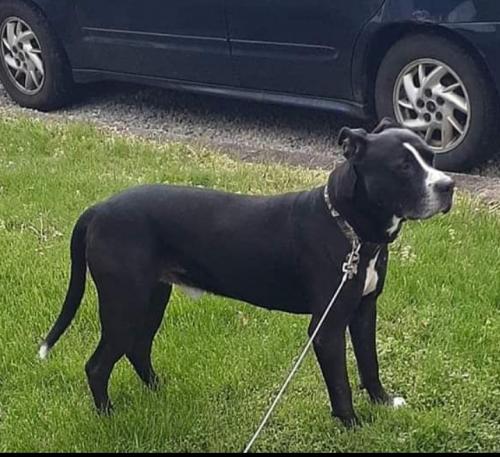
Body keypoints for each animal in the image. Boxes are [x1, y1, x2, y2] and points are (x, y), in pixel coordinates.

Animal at [39, 118, 454, 427]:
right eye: (402, 167)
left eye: (431, 155)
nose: (448, 185)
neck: (349, 229)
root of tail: (98, 209)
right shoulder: (327, 327)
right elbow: (340, 384)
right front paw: (353, 425)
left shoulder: (365, 310)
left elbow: (370, 364)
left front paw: (383, 403)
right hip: (124, 303)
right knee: (98, 365)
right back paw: (108, 417)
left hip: (152, 298)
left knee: (138, 349)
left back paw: (159, 392)